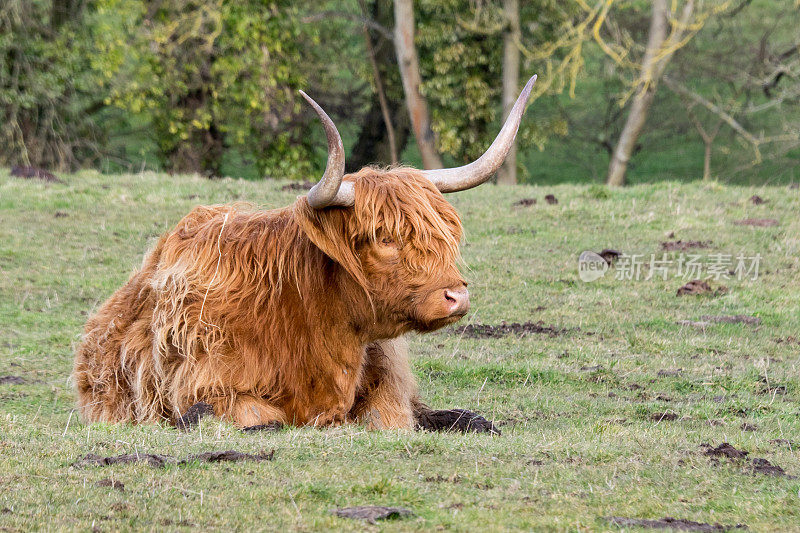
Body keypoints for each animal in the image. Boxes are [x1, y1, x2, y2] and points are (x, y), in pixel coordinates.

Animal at [73, 76, 536, 432]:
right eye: (382, 238)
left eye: (443, 233)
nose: (457, 297)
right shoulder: (205, 385)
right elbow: (259, 417)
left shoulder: (388, 384)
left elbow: (394, 417)